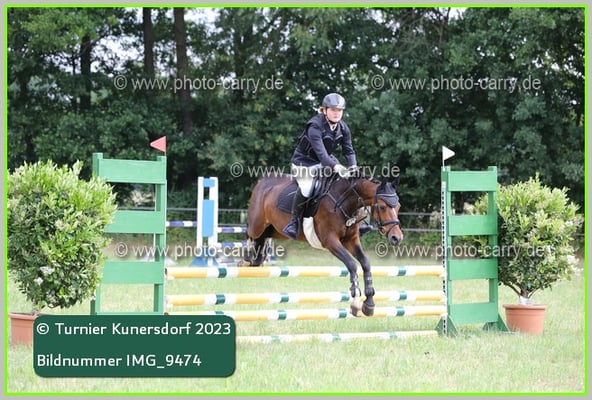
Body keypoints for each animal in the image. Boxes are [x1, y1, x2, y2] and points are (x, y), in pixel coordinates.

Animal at [242, 171, 403, 317]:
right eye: (382, 207)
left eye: (398, 206)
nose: (397, 238)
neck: (344, 201)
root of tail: (263, 182)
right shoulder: (330, 241)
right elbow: (352, 264)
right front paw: (356, 302)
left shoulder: (351, 240)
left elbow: (365, 263)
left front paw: (369, 303)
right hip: (257, 225)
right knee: (250, 234)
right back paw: (245, 259)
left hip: (275, 230)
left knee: (262, 240)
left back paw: (254, 259)